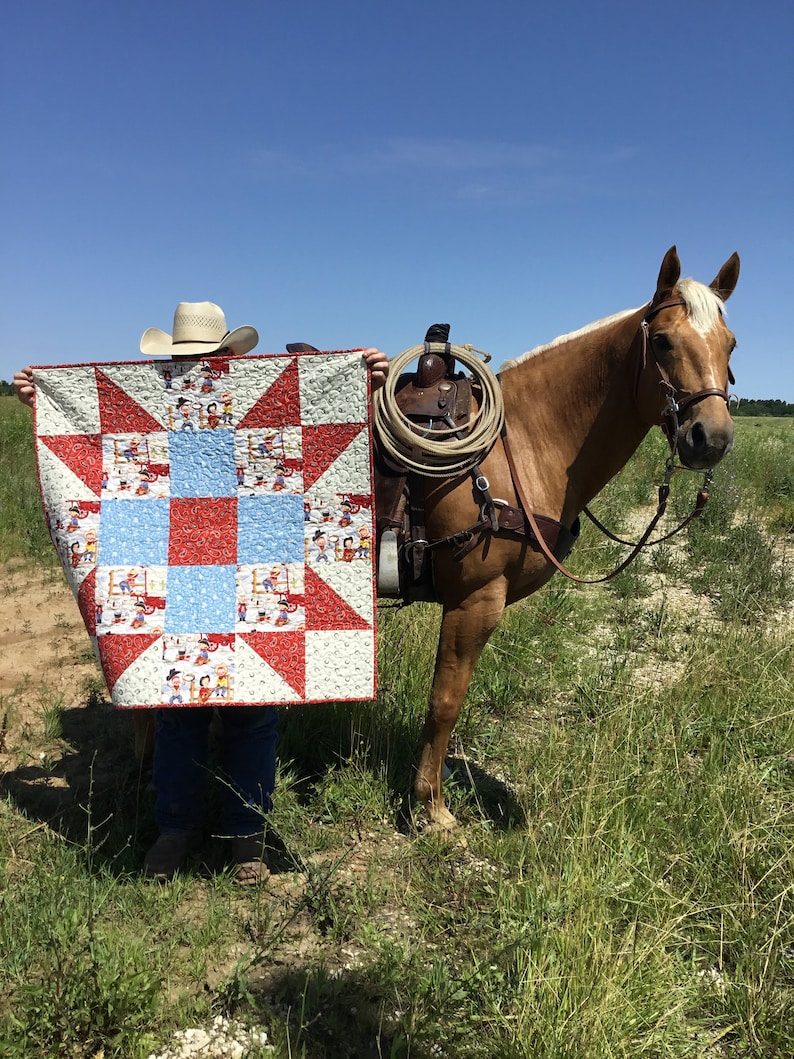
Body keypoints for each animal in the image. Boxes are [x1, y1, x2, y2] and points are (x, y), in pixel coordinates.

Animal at [412, 243, 745, 830]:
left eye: (730, 345)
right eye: (662, 341)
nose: (712, 437)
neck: (520, 440)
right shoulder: (474, 599)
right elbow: (445, 702)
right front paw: (431, 809)